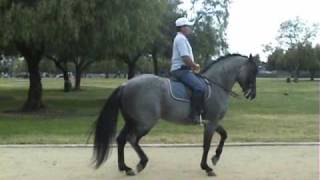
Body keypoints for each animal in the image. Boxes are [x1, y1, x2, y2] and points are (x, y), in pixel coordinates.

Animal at [92, 53, 258, 176]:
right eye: (253, 72)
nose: (252, 95)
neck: (216, 85)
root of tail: (126, 84)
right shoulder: (211, 123)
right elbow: (206, 145)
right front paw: (207, 167)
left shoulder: (212, 122)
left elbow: (224, 135)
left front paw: (215, 158)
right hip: (144, 123)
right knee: (132, 139)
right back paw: (141, 163)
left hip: (131, 121)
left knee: (121, 139)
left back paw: (125, 167)